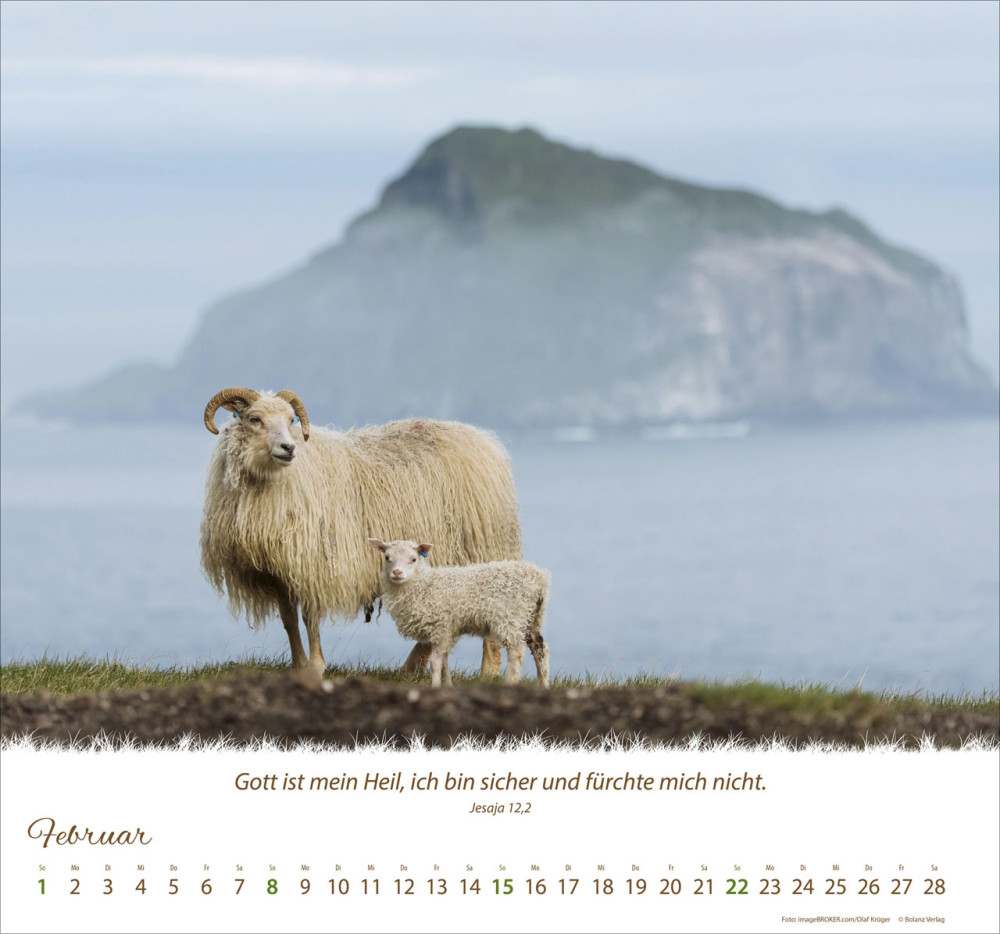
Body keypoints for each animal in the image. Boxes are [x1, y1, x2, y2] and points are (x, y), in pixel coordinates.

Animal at [200, 387, 522, 674]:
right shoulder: (278, 571)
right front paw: (299, 666)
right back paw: (410, 668)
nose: (288, 448)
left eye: (292, 419)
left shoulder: (315, 562)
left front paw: (316, 667)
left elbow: (309, 618)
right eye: (254, 418)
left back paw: (487, 674)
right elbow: (289, 620)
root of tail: (484, 439)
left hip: (484, 550)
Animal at [368, 538, 550, 688]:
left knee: (516, 653)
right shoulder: (447, 631)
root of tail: (540, 578)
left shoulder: (441, 627)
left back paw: (509, 683)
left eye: (413, 559)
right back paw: (543, 685)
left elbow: (436, 662)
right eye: (387, 557)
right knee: (539, 648)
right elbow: (444, 660)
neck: (424, 585)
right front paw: (448, 685)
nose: (397, 573)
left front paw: (435, 686)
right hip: (533, 617)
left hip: (511, 617)